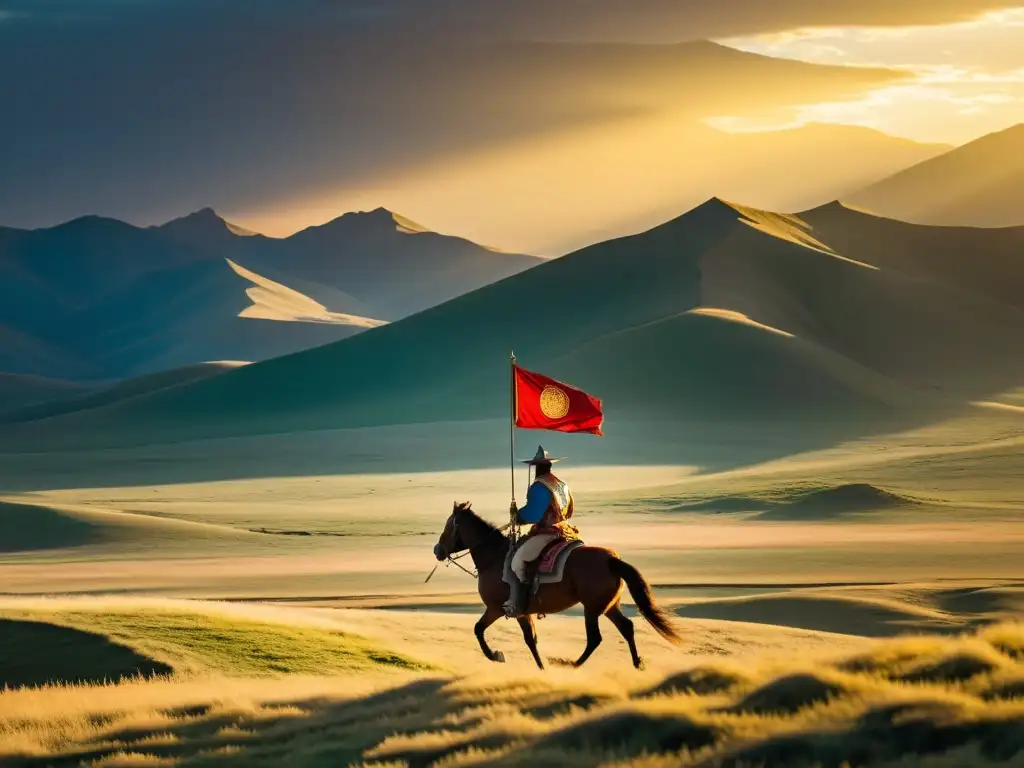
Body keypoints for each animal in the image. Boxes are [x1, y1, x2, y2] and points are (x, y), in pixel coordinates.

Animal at [430, 501, 679, 671]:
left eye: (448, 525)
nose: (437, 550)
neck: (494, 558)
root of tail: (611, 560)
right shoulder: (522, 613)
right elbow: (531, 640)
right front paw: (541, 668)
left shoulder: (498, 609)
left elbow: (479, 630)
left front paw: (496, 655)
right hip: (608, 606)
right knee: (626, 627)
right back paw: (637, 664)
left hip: (591, 608)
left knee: (595, 638)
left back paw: (570, 664)